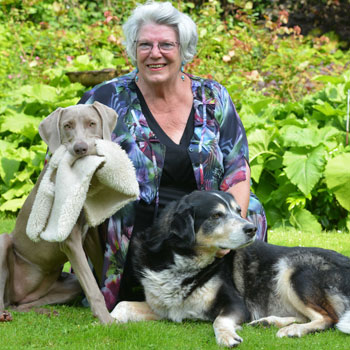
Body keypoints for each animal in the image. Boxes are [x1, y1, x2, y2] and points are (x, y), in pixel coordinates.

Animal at [0, 102, 118, 324]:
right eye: (67, 125)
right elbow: (92, 286)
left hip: (66, 284)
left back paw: (45, 312)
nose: (80, 148)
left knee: (20, 306)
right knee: (3, 302)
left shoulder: (90, 235)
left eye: (92, 123)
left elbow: (98, 274)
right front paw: (107, 320)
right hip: (3, 240)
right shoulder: (69, 238)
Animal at [111, 191, 350, 348]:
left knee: (329, 319)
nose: (251, 229)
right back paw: (268, 322)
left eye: (238, 211)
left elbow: (220, 320)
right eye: (216, 216)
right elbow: (122, 305)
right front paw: (110, 321)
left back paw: (292, 330)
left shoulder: (236, 304)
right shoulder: (163, 308)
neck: (182, 262)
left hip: (292, 270)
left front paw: (227, 336)